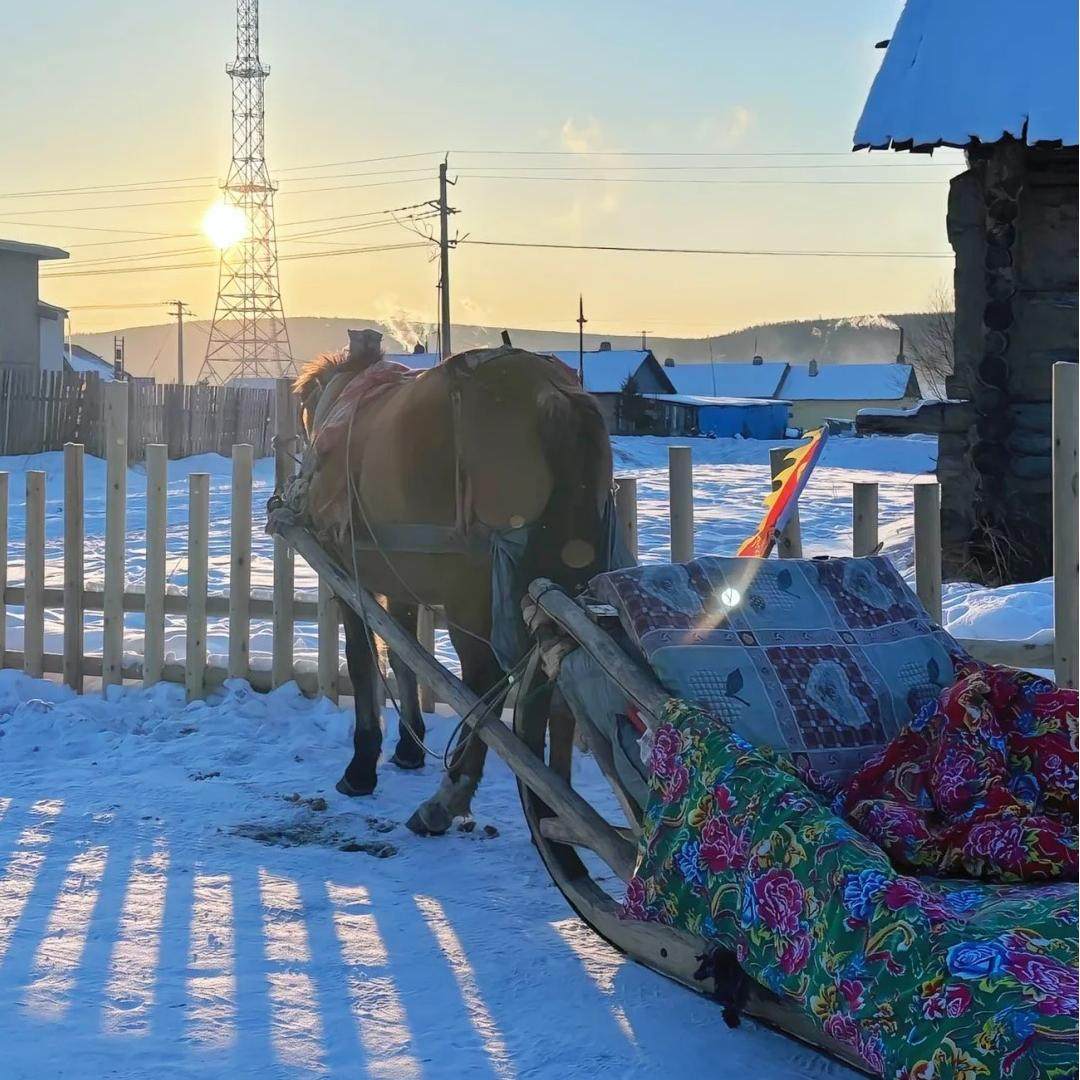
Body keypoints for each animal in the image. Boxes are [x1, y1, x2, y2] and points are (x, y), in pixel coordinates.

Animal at [293, 331, 614, 835]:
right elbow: (403, 655)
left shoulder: (349, 573)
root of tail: (552, 395)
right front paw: (408, 747)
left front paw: (362, 764)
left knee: (484, 681)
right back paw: (554, 801)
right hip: (564, 582)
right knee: (558, 678)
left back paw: (449, 797)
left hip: (473, 592)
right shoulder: (398, 582)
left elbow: (363, 659)